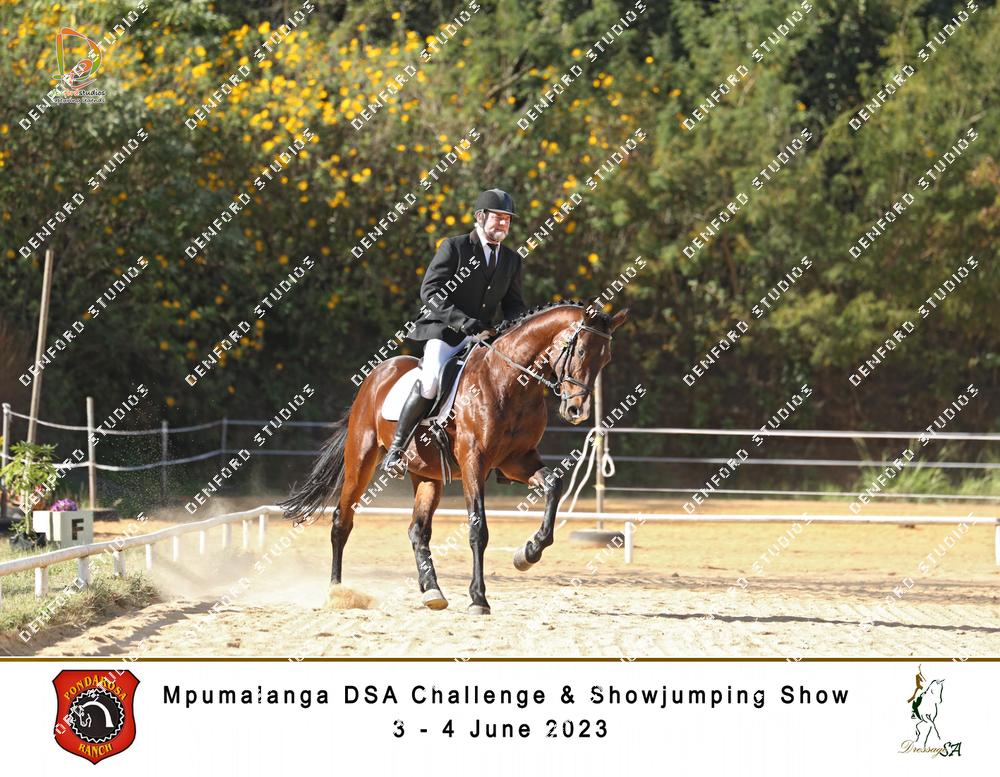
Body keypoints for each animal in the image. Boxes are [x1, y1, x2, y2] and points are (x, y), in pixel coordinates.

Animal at [279, 301, 629, 614]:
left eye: (606, 358)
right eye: (580, 352)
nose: (577, 411)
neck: (510, 382)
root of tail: (377, 374)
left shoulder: (517, 461)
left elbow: (554, 487)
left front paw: (528, 553)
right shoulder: (475, 462)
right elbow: (478, 528)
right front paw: (478, 599)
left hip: (427, 475)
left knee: (417, 530)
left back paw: (432, 590)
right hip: (361, 458)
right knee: (342, 521)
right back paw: (337, 592)